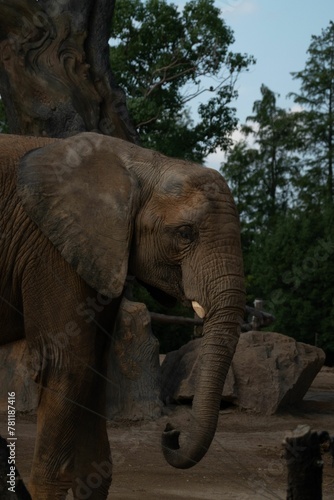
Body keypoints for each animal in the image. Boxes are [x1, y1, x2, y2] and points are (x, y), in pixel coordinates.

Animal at [0, 131, 245, 498]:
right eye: (185, 234)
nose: (171, 432)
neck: (139, 163)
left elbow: (92, 366)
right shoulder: (49, 247)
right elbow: (67, 364)